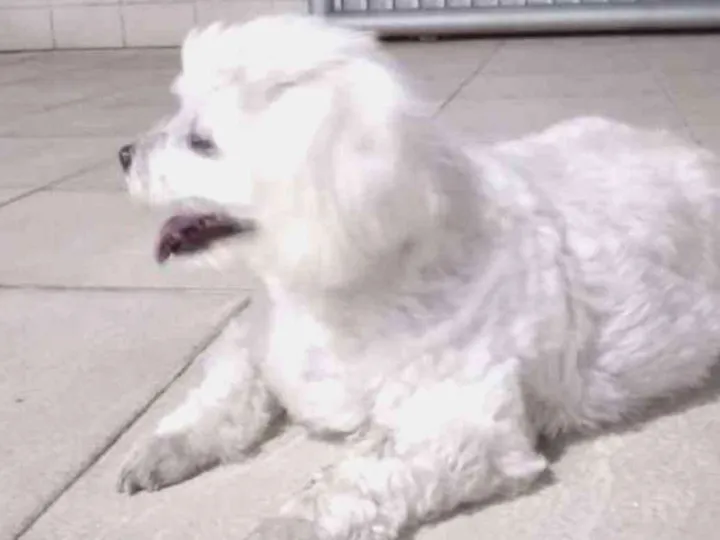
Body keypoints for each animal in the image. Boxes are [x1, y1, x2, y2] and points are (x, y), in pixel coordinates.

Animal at [117, 15, 720, 540]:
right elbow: (225, 387)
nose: (122, 153)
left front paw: (289, 524)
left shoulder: (464, 422)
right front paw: (165, 447)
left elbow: (360, 478)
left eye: (202, 142)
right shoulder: (260, 340)